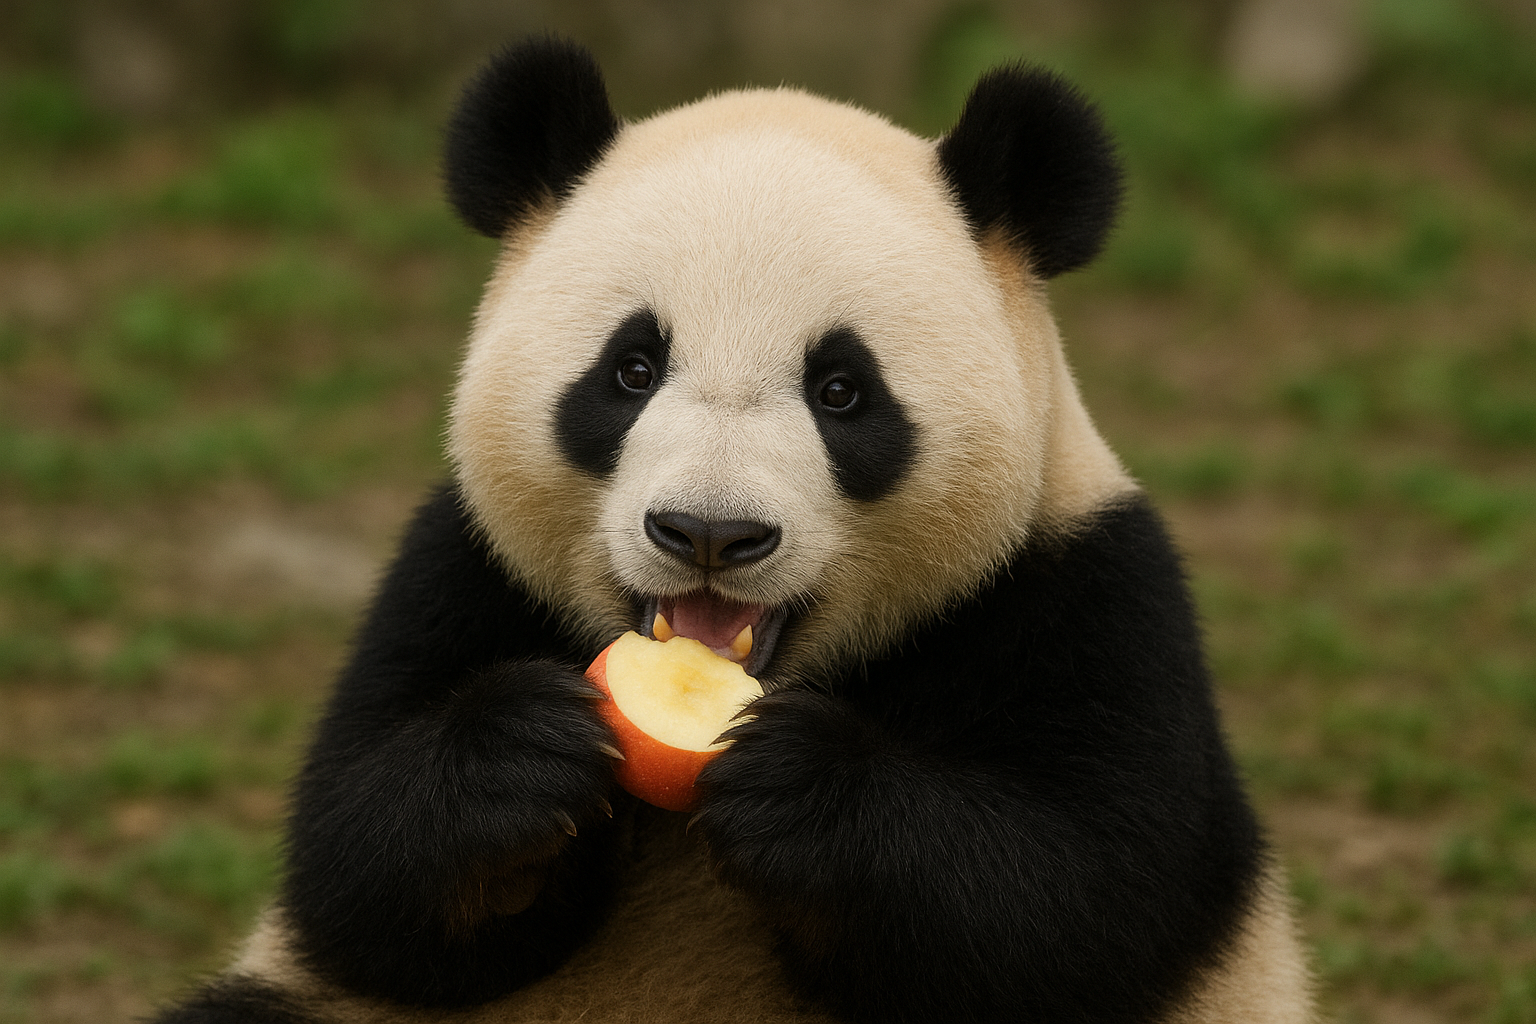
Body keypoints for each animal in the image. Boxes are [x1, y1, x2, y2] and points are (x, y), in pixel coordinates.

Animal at [154, 37, 1315, 1024]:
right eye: (631, 369)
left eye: (842, 391)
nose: (709, 532)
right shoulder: (462, 565)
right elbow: (357, 869)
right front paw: (520, 750)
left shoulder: (1084, 588)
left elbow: (1080, 895)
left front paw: (799, 786)